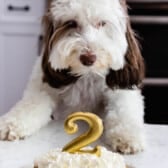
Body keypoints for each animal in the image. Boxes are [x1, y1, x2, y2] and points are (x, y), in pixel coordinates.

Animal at [0, 0, 145, 154]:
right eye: (71, 23)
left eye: (102, 23)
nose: (88, 58)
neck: (86, 74)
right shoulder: (43, 88)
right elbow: (29, 105)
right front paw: (10, 124)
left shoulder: (120, 91)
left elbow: (125, 111)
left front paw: (128, 136)